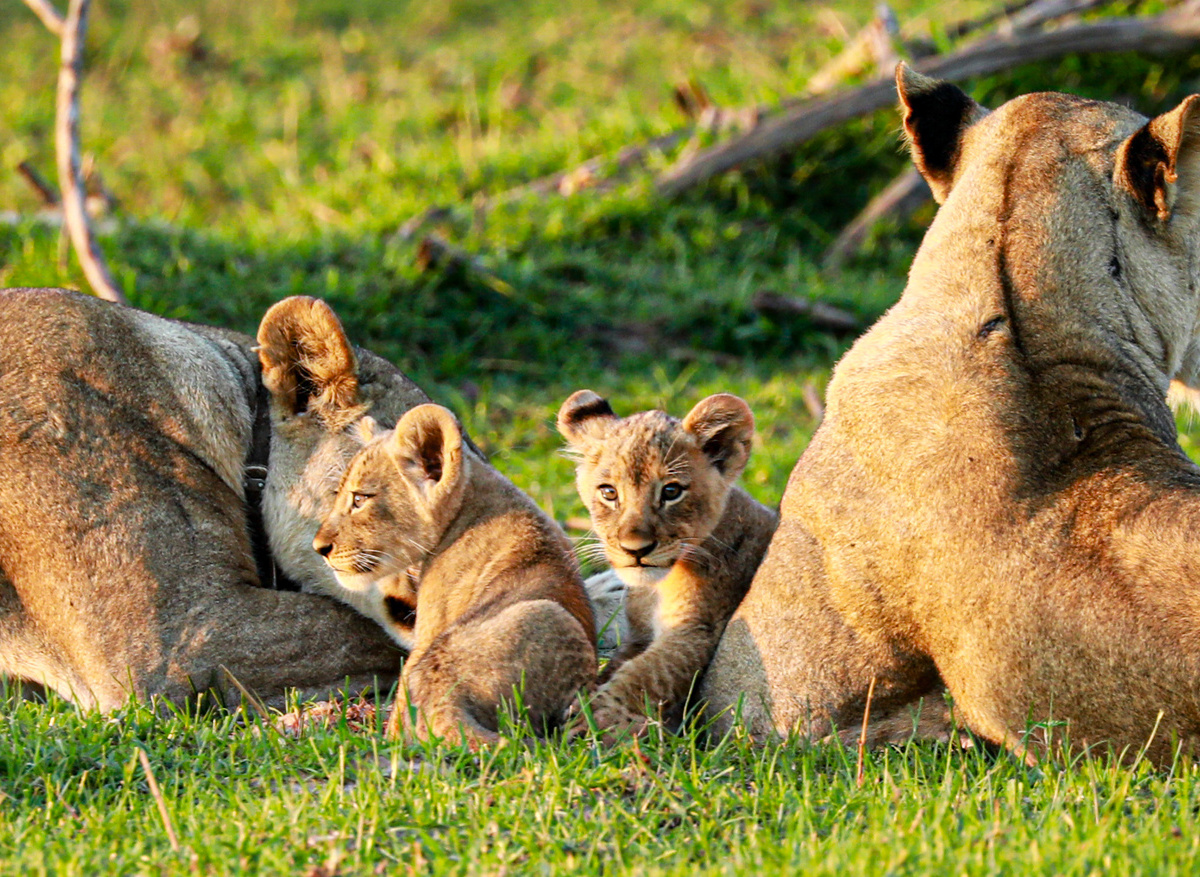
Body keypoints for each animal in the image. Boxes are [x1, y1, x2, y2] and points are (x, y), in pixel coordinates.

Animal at [558, 391, 776, 739]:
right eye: (609, 492)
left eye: (671, 491)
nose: (635, 549)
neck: (655, 588)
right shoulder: (638, 634)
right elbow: (621, 664)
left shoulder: (698, 628)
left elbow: (646, 673)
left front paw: (594, 718)